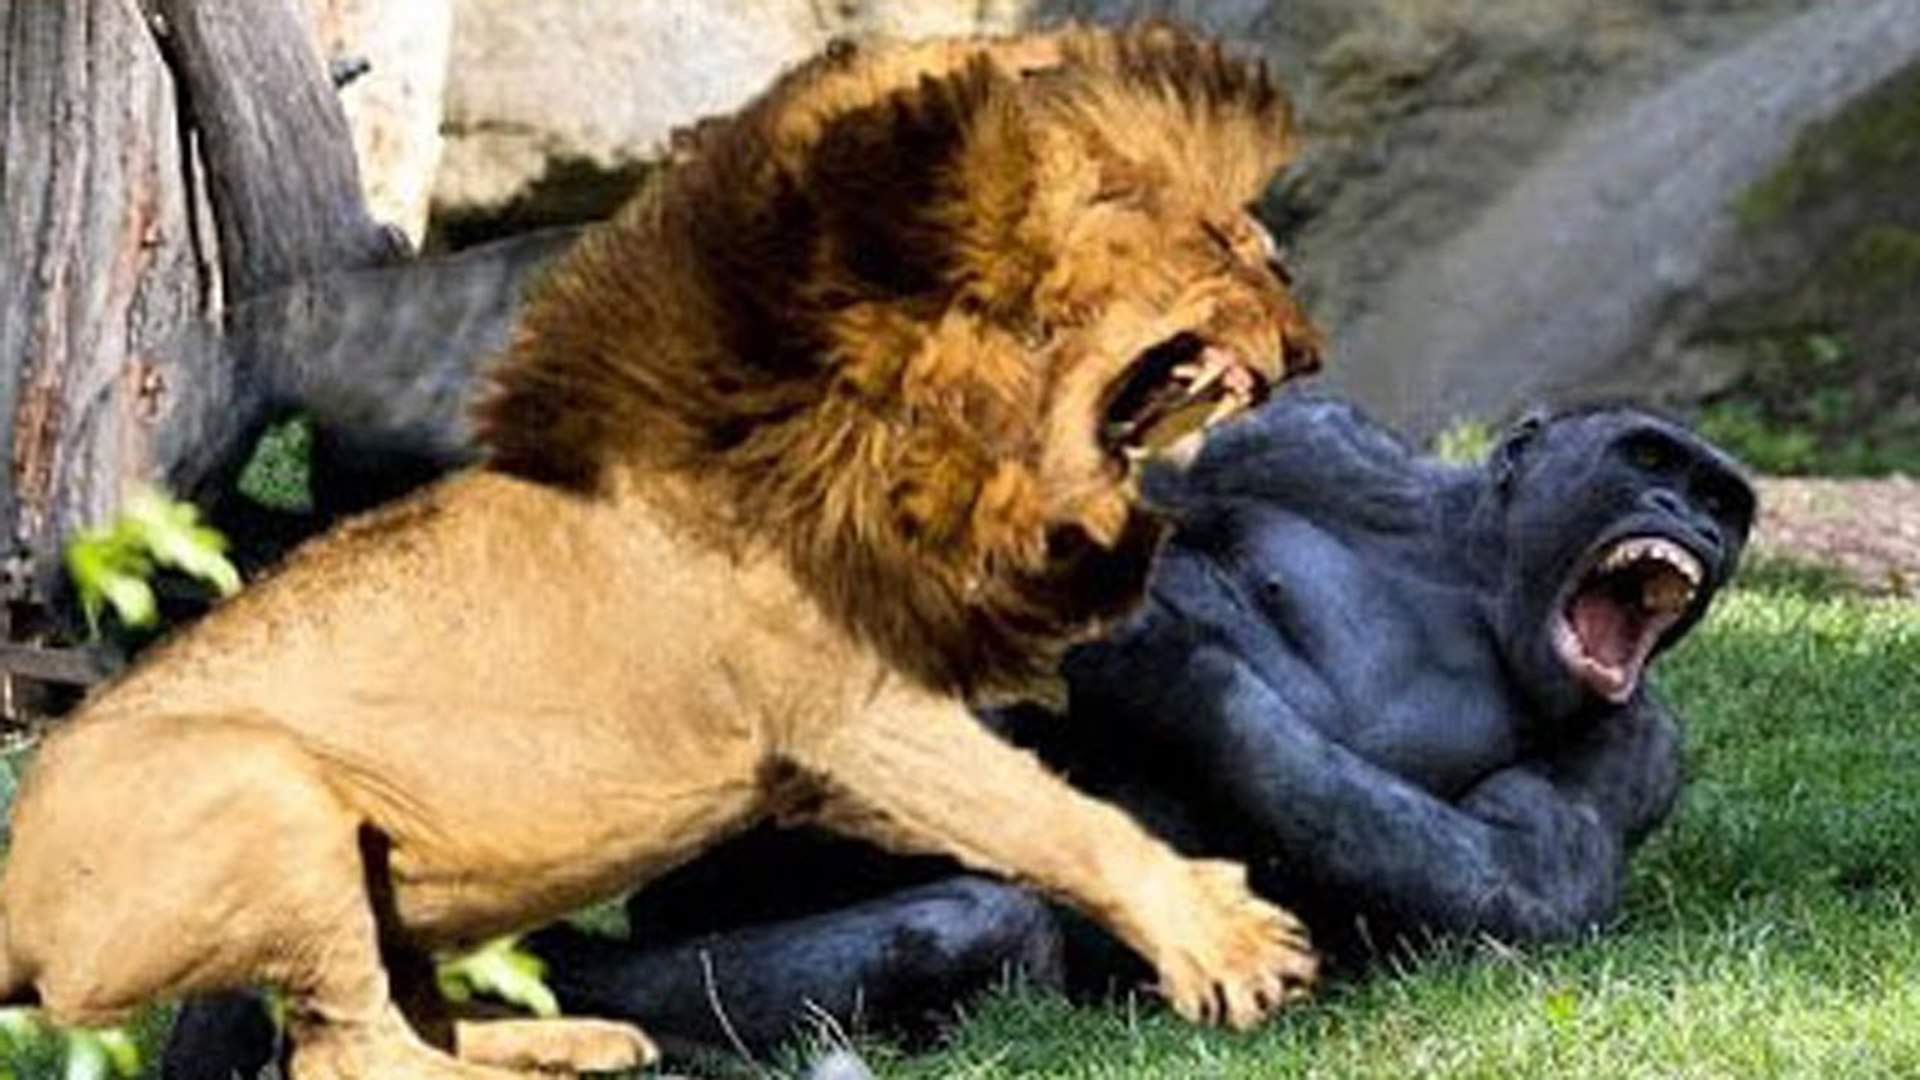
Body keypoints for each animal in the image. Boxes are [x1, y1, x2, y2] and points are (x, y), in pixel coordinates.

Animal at [0, 24, 1323, 1079]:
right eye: (1218, 237)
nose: (1301, 318)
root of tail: (12, 878)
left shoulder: (833, 755)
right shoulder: (850, 708)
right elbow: (1050, 816)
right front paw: (1228, 946)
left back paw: (580, 1038)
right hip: (265, 791)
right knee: (347, 1059)